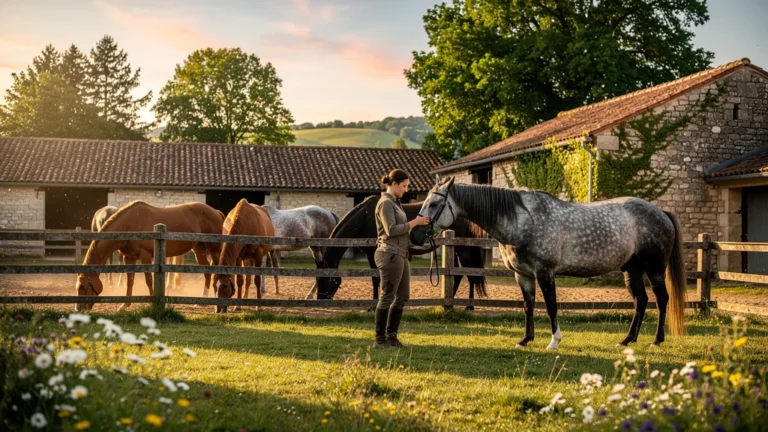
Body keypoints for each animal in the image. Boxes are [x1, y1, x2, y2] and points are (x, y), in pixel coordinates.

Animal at [75, 201, 224, 312]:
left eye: (82, 286)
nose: (78, 309)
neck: (129, 224)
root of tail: (215, 211)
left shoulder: (145, 256)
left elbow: (149, 280)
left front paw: (153, 303)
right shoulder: (129, 257)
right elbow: (130, 280)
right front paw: (124, 305)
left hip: (214, 250)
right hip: (199, 250)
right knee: (207, 273)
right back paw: (202, 300)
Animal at [313, 195, 488, 308]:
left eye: (326, 279)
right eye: (317, 279)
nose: (320, 300)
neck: (364, 218)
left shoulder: (373, 253)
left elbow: (377, 279)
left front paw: (373, 305)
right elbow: (377, 279)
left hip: (464, 249)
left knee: (471, 275)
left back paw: (469, 306)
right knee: (459, 276)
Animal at [411, 178, 686, 349]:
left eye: (434, 204)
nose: (415, 234)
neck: (522, 220)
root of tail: (661, 213)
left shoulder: (545, 273)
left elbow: (552, 306)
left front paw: (553, 341)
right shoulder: (522, 275)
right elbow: (528, 306)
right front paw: (525, 339)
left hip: (654, 269)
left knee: (662, 299)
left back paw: (656, 340)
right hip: (632, 270)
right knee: (641, 301)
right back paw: (627, 340)